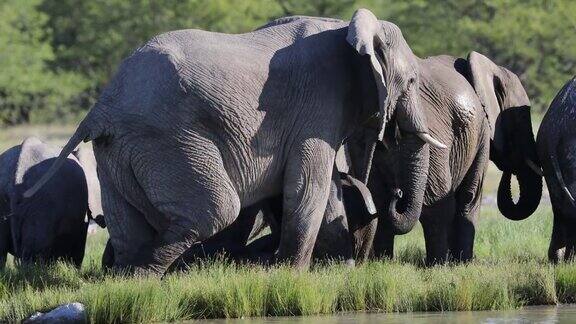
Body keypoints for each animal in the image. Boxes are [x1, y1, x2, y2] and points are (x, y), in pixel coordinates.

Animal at [23, 8, 446, 274]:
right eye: (411, 81)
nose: (393, 195)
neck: (347, 28)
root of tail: (102, 106)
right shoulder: (317, 107)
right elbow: (308, 186)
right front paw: (289, 273)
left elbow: (320, 191)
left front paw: (335, 267)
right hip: (170, 140)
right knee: (216, 209)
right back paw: (153, 273)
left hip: (119, 150)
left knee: (127, 222)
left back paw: (129, 278)